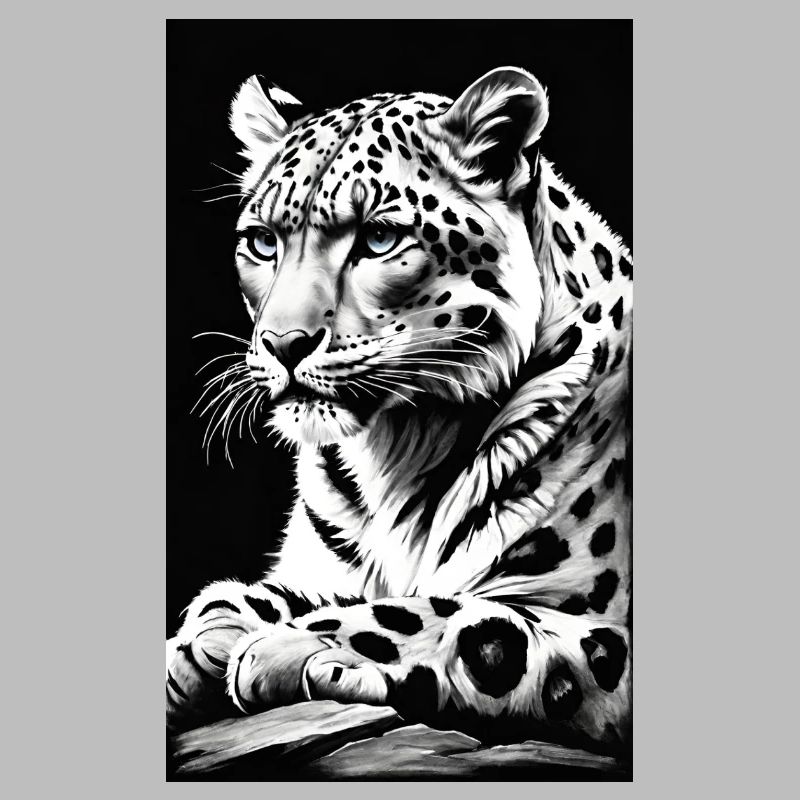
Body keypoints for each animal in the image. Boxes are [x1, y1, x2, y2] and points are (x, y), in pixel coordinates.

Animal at [166, 67, 633, 757]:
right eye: (262, 242)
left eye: (380, 238)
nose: (282, 343)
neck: (397, 449)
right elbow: (306, 589)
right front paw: (211, 628)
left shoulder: (608, 630)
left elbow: (451, 614)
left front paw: (285, 644)